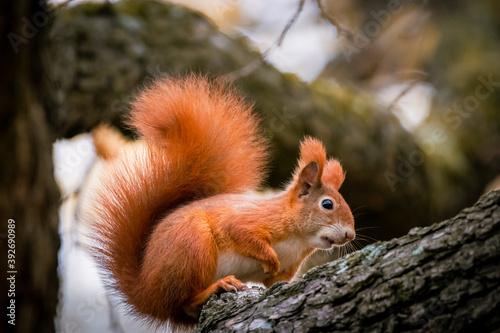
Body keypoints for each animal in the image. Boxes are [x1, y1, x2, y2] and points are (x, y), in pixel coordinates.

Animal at [84, 76, 356, 330]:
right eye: (327, 204)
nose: (350, 235)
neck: (298, 240)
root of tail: (145, 293)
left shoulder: (288, 268)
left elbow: (275, 283)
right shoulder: (251, 220)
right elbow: (242, 234)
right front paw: (269, 258)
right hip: (192, 245)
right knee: (184, 300)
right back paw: (217, 286)